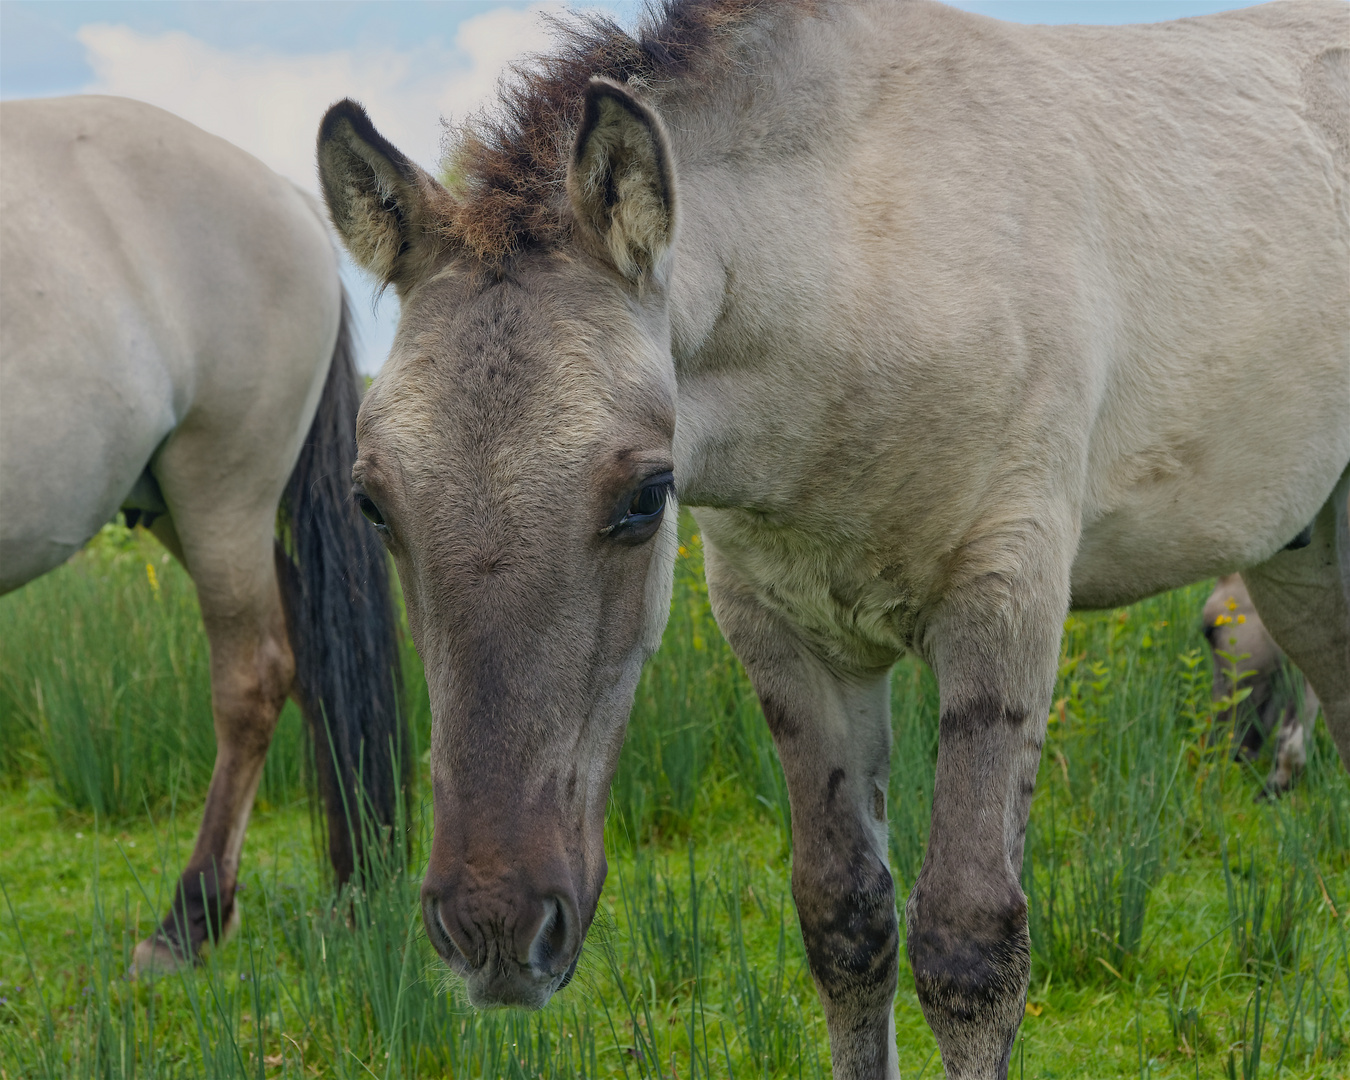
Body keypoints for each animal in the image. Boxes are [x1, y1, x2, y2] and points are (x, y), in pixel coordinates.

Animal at [0, 93, 405, 972]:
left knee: (254, 676)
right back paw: (352, 888)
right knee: (312, 654)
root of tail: (291, 201)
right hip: (176, 509)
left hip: (222, 492)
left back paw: (188, 920)